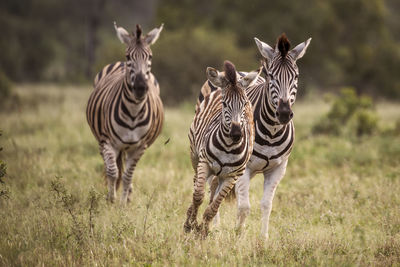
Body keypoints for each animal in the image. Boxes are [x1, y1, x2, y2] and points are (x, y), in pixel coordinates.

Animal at [86, 22, 163, 204]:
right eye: (129, 56)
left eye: (150, 57)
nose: (141, 88)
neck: (133, 113)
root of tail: (118, 63)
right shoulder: (108, 142)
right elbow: (112, 172)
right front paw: (111, 200)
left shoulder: (139, 147)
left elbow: (128, 176)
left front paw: (122, 203)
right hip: (102, 142)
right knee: (109, 165)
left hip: (129, 148)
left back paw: (128, 195)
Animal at [184, 61, 260, 239]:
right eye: (225, 104)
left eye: (245, 104)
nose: (236, 134)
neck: (228, 147)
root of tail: (218, 88)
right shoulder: (205, 162)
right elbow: (198, 196)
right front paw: (191, 224)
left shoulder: (233, 175)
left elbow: (215, 206)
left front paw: (204, 229)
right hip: (195, 157)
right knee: (197, 184)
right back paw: (189, 217)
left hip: (220, 173)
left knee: (213, 187)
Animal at [198, 34, 310, 241]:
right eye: (271, 76)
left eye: (296, 76)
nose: (284, 113)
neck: (272, 131)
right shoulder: (244, 168)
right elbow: (244, 207)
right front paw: (238, 236)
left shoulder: (278, 169)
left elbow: (267, 204)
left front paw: (263, 239)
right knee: (212, 186)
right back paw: (215, 227)